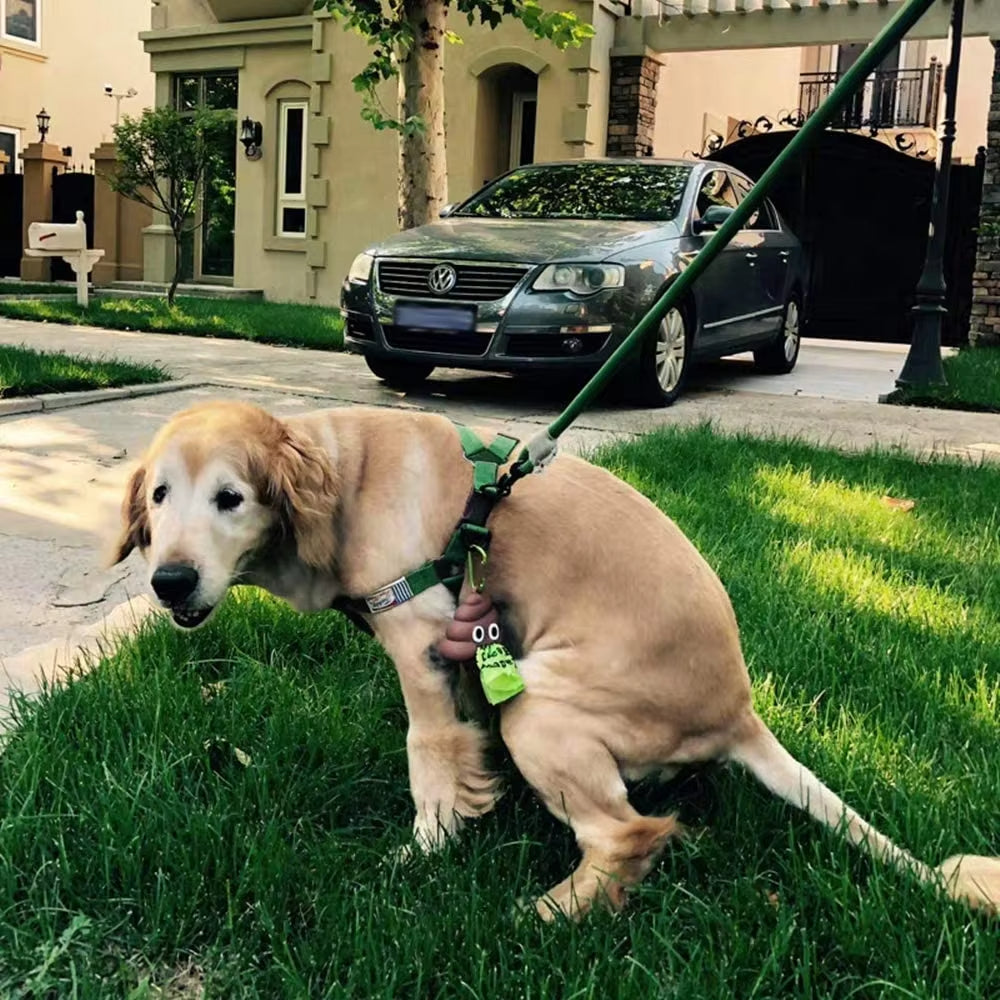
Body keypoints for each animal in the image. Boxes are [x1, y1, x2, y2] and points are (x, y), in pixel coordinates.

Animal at [113, 398, 996, 920]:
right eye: (158, 497)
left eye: (231, 498)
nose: (169, 581)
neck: (344, 480)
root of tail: (739, 711)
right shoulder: (467, 647)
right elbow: (463, 746)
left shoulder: (420, 640)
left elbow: (427, 751)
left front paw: (424, 850)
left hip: (539, 705)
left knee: (629, 834)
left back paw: (544, 915)